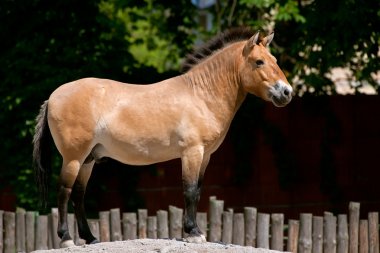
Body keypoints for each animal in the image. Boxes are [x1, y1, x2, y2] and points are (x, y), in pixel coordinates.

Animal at [33, 27, 294, 247]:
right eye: (259, 62)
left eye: (275, 61)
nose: (286, 92)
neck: (201, 95)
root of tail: (53, 96)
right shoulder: (192, 152)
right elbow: (190, 190)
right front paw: (194, 233)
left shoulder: (205, 156)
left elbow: (198, 191)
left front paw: (194, 231)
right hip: (74, 158)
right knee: (64, 191)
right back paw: (67, 239)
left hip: (88, 159)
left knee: (78, 194)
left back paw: (90, 238)